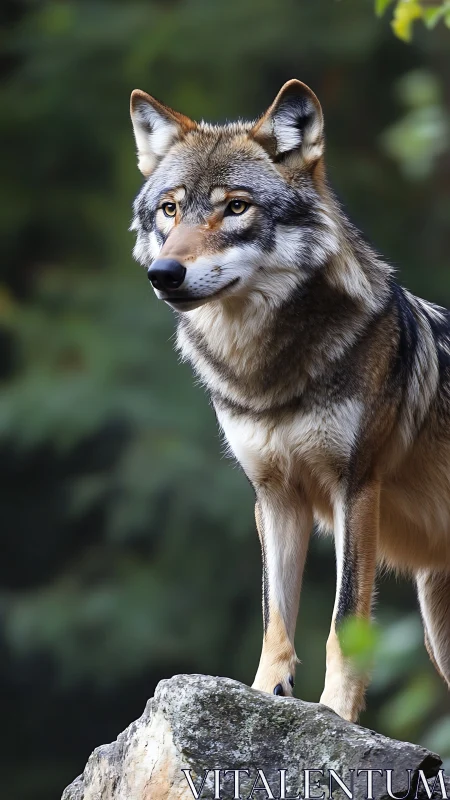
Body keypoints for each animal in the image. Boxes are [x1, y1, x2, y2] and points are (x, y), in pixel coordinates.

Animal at [129, 80, 450, 722]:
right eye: (170, 210)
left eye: (235, 207)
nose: (164, 273)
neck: (268, 375)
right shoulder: (275, 496)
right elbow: (275, 616)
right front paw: (262, 695)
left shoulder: (357, 487)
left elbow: (345, 621)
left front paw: (338, 712)